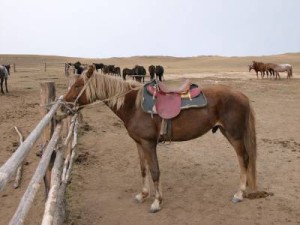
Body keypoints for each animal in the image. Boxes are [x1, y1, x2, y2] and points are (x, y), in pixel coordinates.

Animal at [63, 65, 258, 213]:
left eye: (78, 86)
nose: (64, 105)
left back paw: (239, 193)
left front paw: (157, 202)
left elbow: (155, 171)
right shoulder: (139, 143)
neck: (133, 106)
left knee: (244, 158)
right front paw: (143, 194)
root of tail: (242, 95)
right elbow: (144, 169)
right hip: (227, 132)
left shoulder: (149, 143)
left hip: (234, 135)